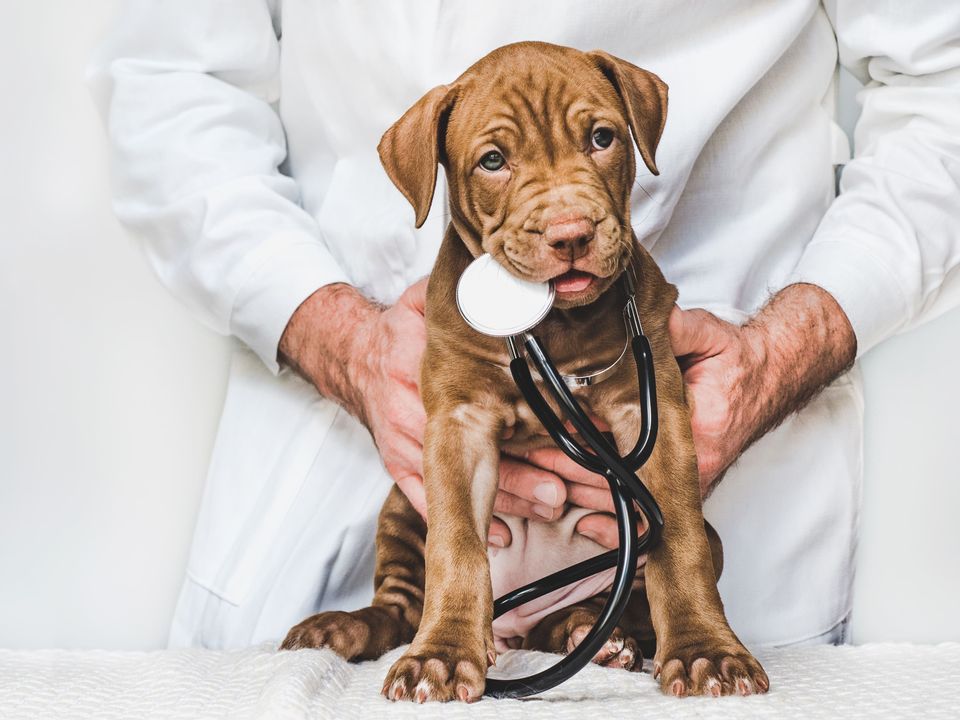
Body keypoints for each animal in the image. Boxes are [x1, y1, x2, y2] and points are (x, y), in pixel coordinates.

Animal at [282, 40, 768, 704]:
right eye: (493, 161)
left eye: (602, 138)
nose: (571, 234)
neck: (554, 326)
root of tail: (513, 629)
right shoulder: (456, 425)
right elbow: (456, 546)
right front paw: (440, 656)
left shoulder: (655, 416)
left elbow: (680, 545)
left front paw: (705, 652)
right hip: (401, 506)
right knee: (399, 606)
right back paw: (342, 627)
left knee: (609, 605)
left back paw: (595, 635)